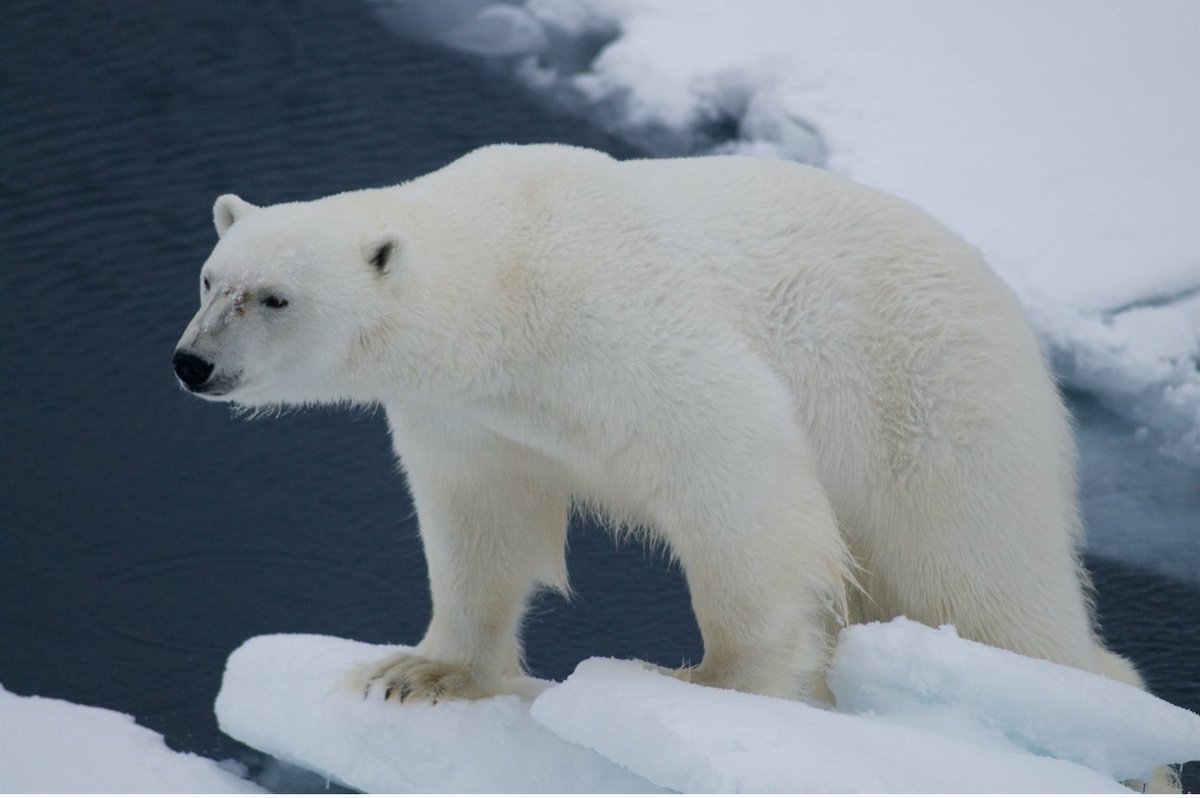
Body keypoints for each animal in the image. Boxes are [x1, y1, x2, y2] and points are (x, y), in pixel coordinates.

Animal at [174, 141, 1147, 715]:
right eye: (211, 278)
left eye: (274, 297)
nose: (192, 363)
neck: (504, 275)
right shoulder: (472, 416)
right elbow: (480, 524)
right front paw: (422, 672)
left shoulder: (613, 313)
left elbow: (734, 461)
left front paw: (709, 680)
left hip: (936, 399)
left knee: (982, 581)